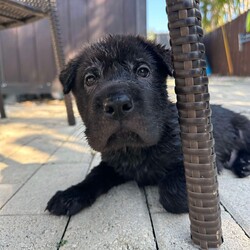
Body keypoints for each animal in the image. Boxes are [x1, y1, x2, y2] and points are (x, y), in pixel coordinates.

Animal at [46, 34, 250, 215]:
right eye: (89, 79)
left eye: (143, 71)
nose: (117, 104)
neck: (133, 149)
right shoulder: (111, 165)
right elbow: (94, 176)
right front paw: (71, 194)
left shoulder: (199, 165)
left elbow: (172, 193)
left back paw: (244, 162)